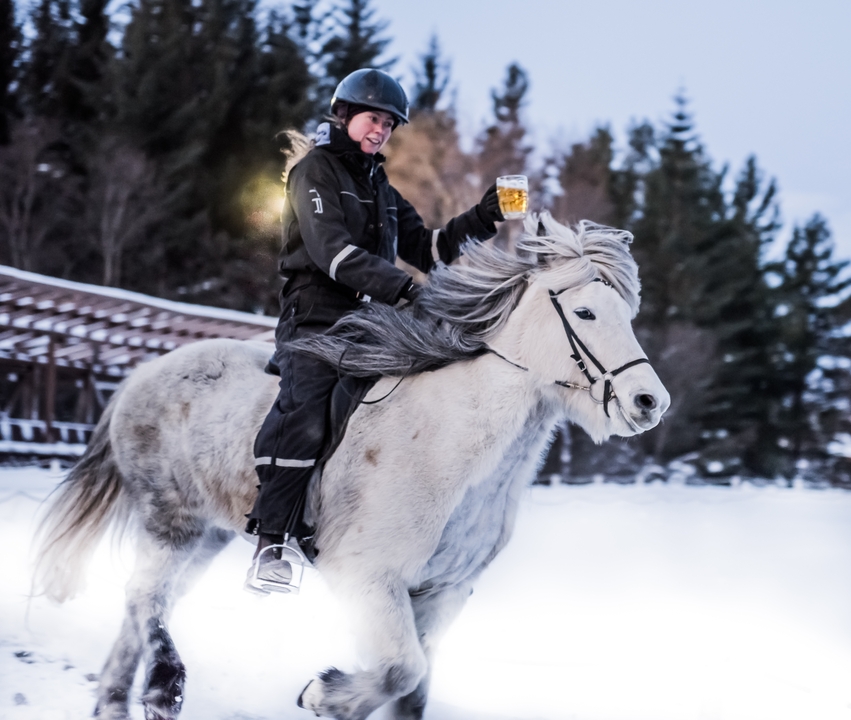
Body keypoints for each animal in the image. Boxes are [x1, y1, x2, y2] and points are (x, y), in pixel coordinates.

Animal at [33, 213, 669, 720]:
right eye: (584, 312)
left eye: (627, 314)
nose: (649, 402)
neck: (456, 448)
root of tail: (140, 376)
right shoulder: (369, 578)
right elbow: (399, 671)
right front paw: (323, 694)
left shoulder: (442, 592)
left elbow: (411, 693)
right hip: (172, 521)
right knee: (146, 596)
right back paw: (165, 688)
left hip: (209, 534)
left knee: (146, 601)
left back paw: (116, 702)